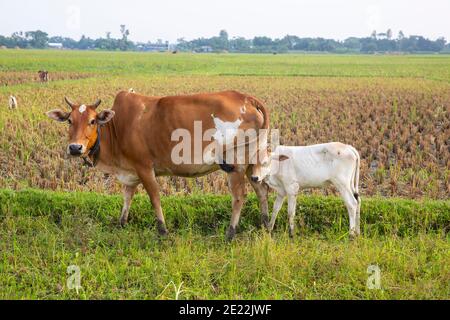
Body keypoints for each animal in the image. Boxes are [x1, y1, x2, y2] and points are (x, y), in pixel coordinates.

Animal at [47, 90, 268, 240]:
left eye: (93, 121)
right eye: (69, 121)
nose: (75, 148)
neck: (117, 128)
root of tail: (246, 98)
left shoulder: (144, 168)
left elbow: (154, 198)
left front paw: (162, 230)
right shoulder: (130, 173)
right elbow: (127, 197)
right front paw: (121, 223)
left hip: (236, 164)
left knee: (239, 197)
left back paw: (230, 233)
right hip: (252, 164)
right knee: (261, 190)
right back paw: (266, 224)